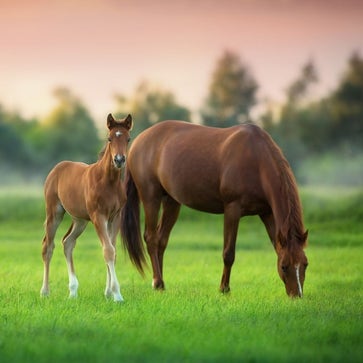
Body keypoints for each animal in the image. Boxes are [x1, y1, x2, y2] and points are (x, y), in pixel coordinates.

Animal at [40, 114, 146, 302]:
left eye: (128, 138)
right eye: (109, 138)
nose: (119, 160)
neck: (108, 182)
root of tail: (57, 167)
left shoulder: (115, 217)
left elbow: (113, 251)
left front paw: (108, 292)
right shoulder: (99, 216)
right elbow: (108, 250)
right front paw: (117, 294)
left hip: (80, 220)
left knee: (68, 242)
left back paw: (73, 291)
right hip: (54, 212)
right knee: (48, 246)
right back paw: (45, 291)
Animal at [122, 121, 310, 298]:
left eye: (305, 264)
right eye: (284, 266)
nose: (296, 295)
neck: (256, 159)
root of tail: (138, 141)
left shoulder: (267, 213)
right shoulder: (232, 209)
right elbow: (229, 253)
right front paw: (224, 289)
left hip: (171, 201)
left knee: (161, 240)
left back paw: (160, 284)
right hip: (150, 197)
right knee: (151, 238)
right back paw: (158, 282)